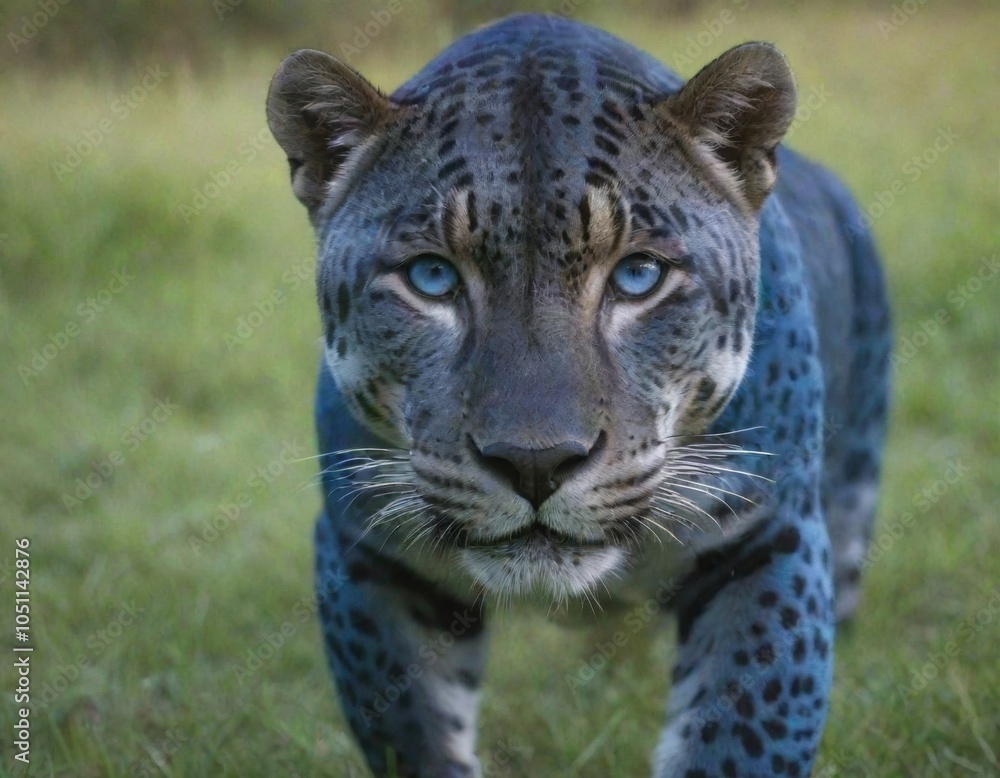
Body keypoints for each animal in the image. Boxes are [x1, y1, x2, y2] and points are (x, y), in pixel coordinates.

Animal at [266, 13, 891, 777]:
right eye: (431, 277)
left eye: (639, 275)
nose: (536, 462)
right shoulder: (371, 551)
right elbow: (415, 738)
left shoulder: (767, 536)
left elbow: (742, 741)